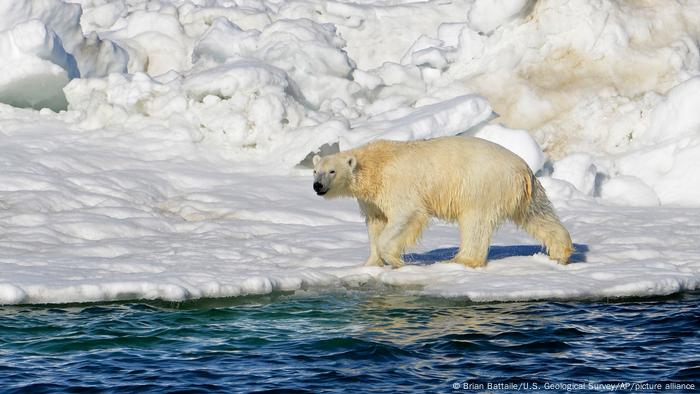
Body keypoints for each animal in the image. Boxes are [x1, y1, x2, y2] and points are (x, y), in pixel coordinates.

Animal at [314, 135, 576, 268]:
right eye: (316, 170)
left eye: (332, 171)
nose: (317, 186)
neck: (374, 165)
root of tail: (522, 169)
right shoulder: (371, 199)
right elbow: (376, 223)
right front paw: (370, 263)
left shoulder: (397, 185)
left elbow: (407, 215)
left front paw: (395, 260)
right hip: (526, 192)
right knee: (538, 215)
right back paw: (560, 253)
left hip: (481, 185)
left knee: (475, 222)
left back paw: (462, 260)